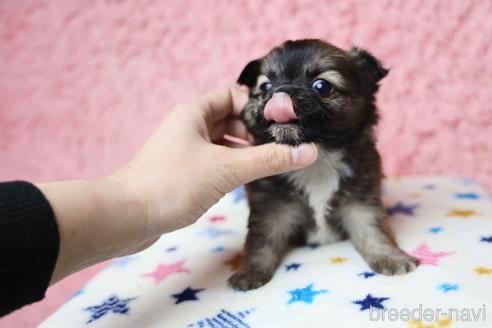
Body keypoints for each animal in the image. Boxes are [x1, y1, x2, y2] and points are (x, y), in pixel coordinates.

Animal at [228, 39, 418, 290]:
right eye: (265, 86)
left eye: (321, 86)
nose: (279, 92)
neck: (318, 158)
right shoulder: (270, 206)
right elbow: (261, 240)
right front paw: (250, 272)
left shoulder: (361, 200)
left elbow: (373, 230)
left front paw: (391, 258)